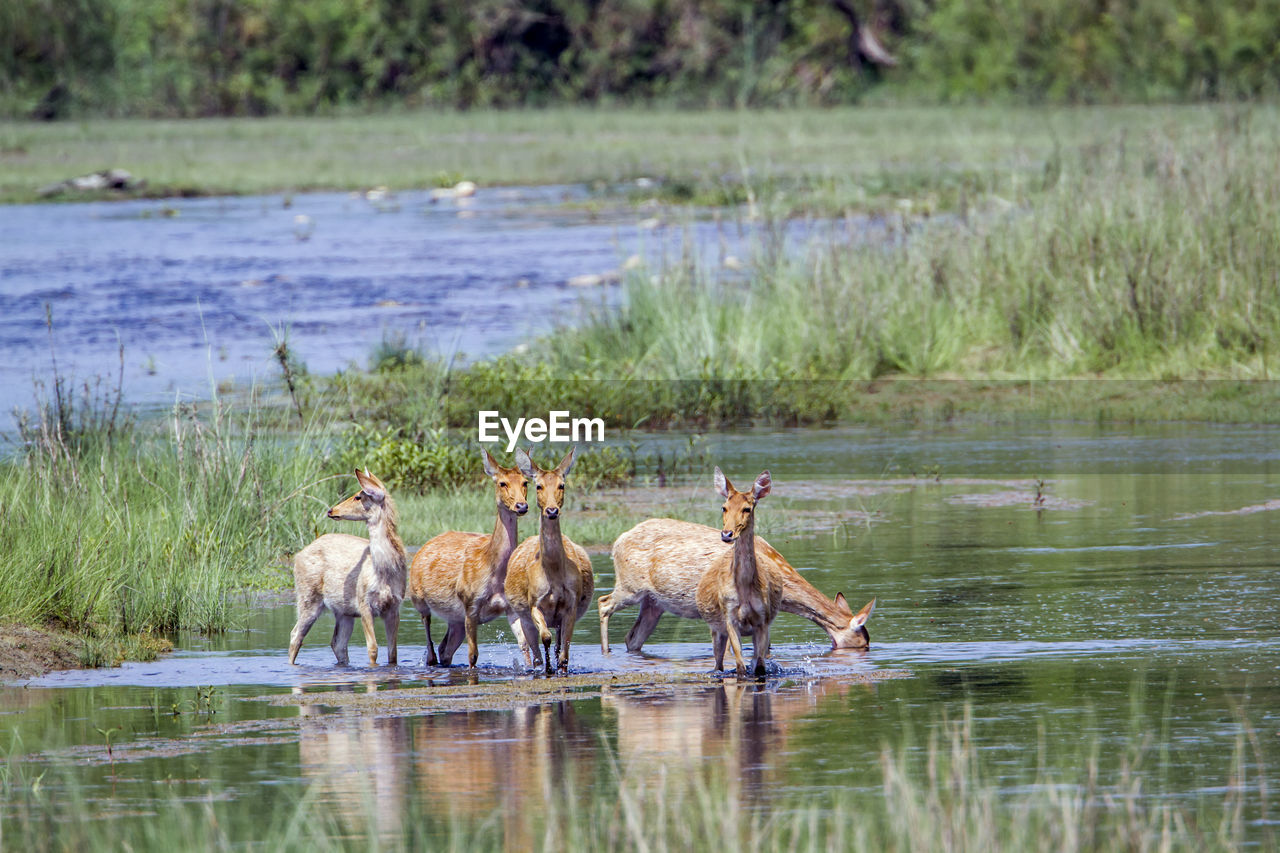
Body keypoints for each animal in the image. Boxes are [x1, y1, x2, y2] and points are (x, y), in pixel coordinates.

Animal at [289, 468, 404, 666]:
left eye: (359, 496)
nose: (331, 510)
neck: (385, 572)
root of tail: (298, 556)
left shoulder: (394, 606)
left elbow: (393, 653)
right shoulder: (364, 602)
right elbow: (373, 649)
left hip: (343, 611)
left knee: (337, 643)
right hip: (308, 597)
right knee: (296, 635)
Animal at [409, 445, 529, 666]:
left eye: (525, 482)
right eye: (502, 483)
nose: (521, 506)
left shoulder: (510, 607)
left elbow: (525, 646)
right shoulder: (470, 604)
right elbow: (473, 655)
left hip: (454, 618)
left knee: (444, 649)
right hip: (418, 598)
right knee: (431, 650)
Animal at [504, 445, 593, 671]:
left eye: (562, 485)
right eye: (538, 486)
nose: (552, 510)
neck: (553, 574)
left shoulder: (571, 604)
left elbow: (564, 652)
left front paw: (559, 668)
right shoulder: (534, 602)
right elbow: (545, 637)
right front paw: (548, 668)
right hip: (522, 617)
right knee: (533, 650)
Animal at [604, 517, 875, 650]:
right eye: (862, 643)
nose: (867, 650)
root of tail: (617, 542)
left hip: (654, 603)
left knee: (632, 638)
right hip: (630, 585)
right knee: (603, 603)